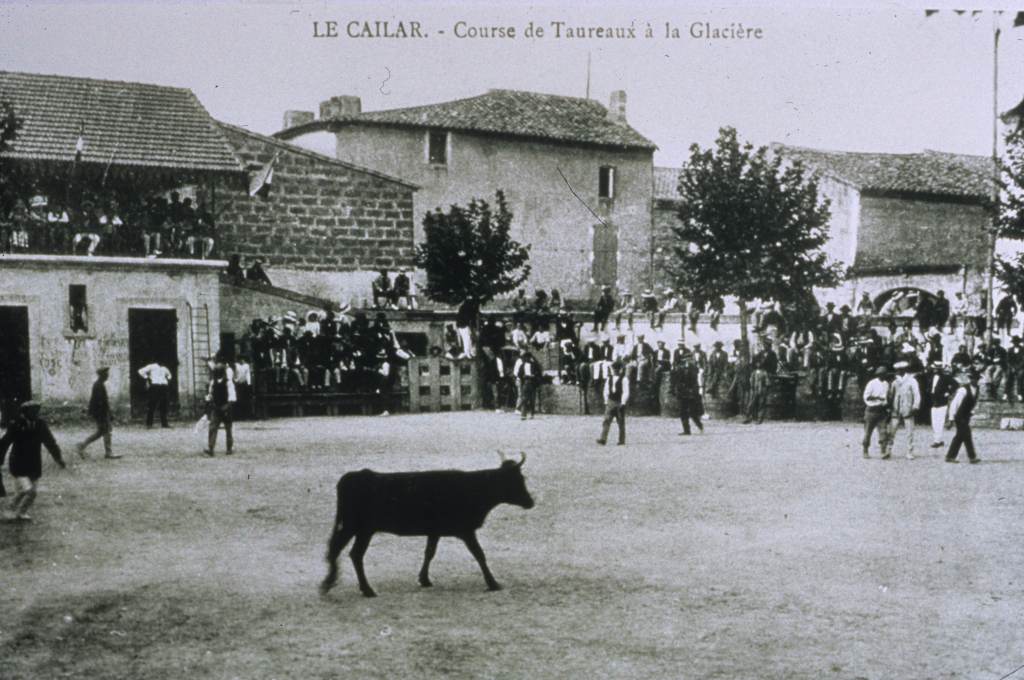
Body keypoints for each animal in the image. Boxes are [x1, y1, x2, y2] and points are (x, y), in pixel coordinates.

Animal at [317, 454, 536, 598]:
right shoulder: (466, 530)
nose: (530, 502)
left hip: (356, 528)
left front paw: (424, 579)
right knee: (351, 553)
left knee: (342, 551)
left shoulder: (435, 531)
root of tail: (355, 476)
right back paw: (362, 589)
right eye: (518, 479)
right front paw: (493, 583)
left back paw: (337, 584)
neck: (475, 488)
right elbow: (479, 554)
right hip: (359, 528)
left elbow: (429, 552)